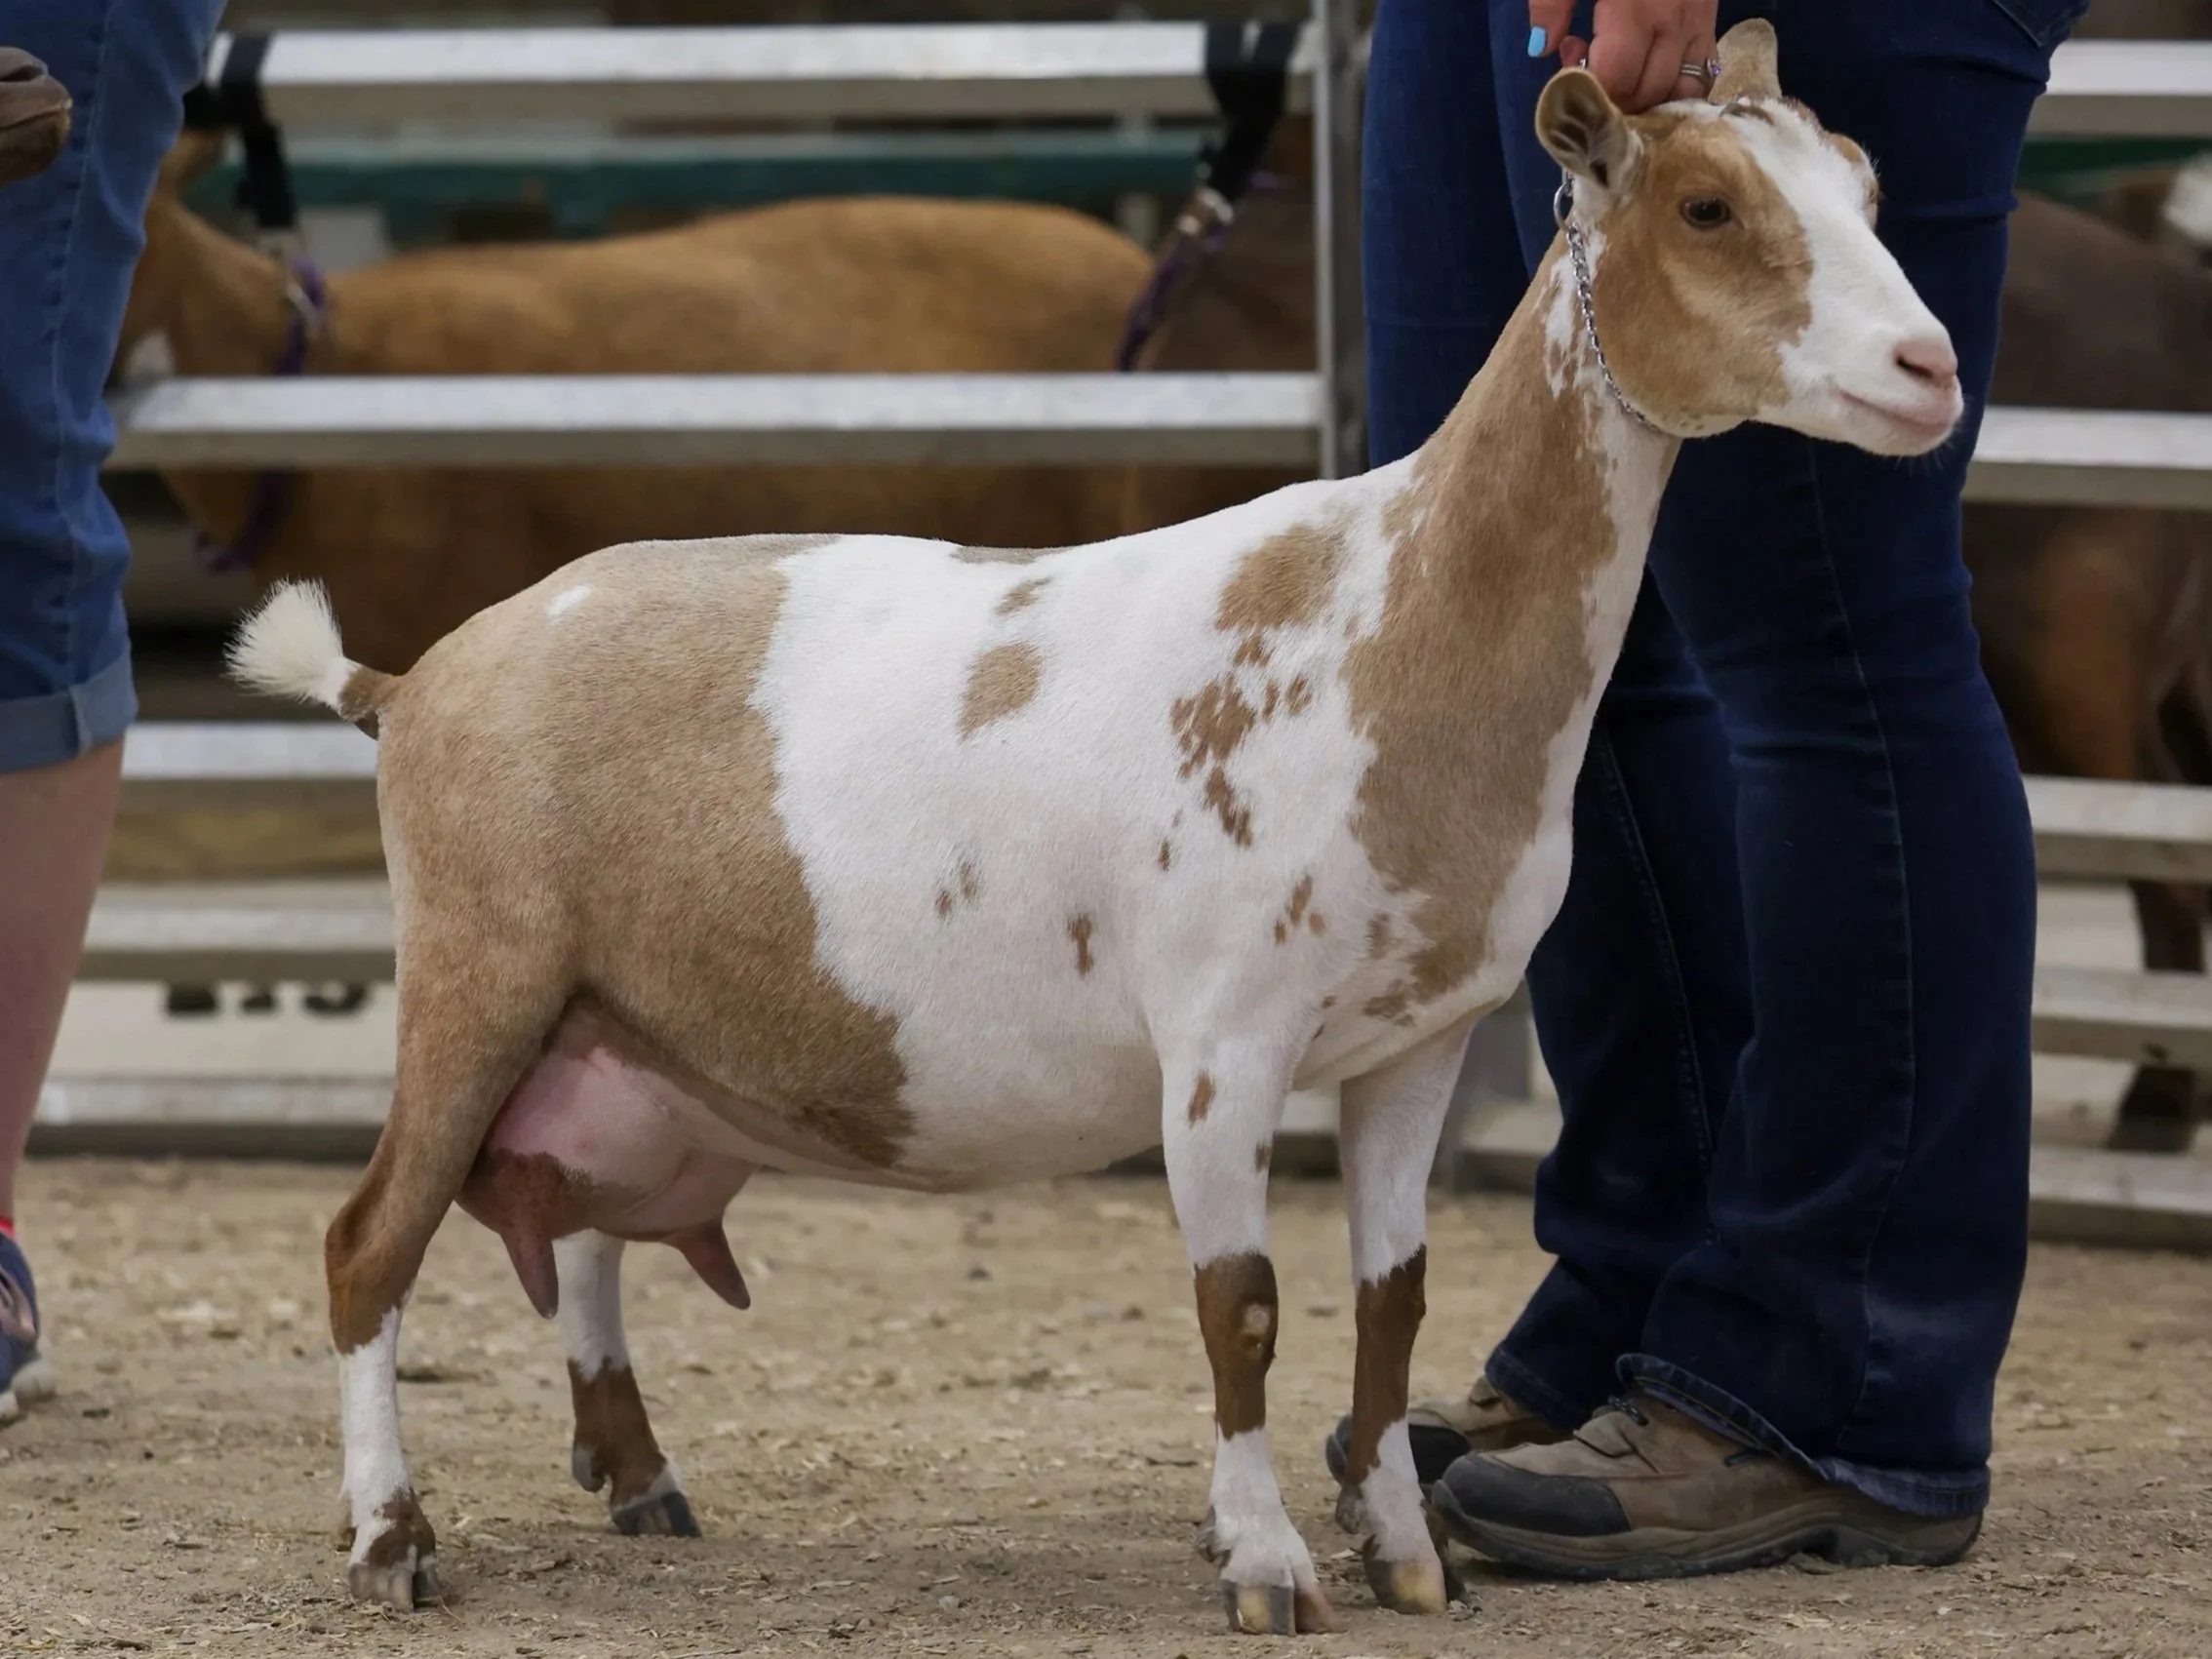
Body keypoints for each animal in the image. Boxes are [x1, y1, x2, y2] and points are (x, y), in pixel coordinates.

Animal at [229, 26, 1958, 1633]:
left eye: (1867, 185)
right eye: (1708, 205)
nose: (1931, 366)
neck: (1386, 616)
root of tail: (415, 677)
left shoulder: (1422, 1036)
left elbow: (1389, 1307)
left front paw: (1407, 1557)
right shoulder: (1222, 1030)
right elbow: (1242, 1309)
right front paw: (1267, 1565)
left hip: (617, 1022)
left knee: (579, 1228)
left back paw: (641, 1474)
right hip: (481, 965)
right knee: (367, 1245)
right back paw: (390, 1538)